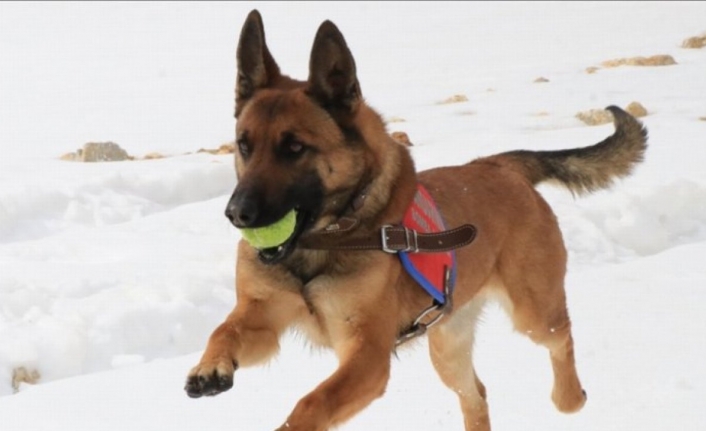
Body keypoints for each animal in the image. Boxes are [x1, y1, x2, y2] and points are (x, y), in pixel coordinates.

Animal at [184, 10, 648, 431]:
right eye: (244, 146)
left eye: (295, 148)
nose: (236, 214)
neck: (325, 240)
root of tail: (500, 166)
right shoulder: (262, 315)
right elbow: (224, 330)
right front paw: (210, 367)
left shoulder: (368, 356)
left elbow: (313, 402)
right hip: (447, 345)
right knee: (475, 395)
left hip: (532, 313)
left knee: (561, 335)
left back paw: (569, 397)